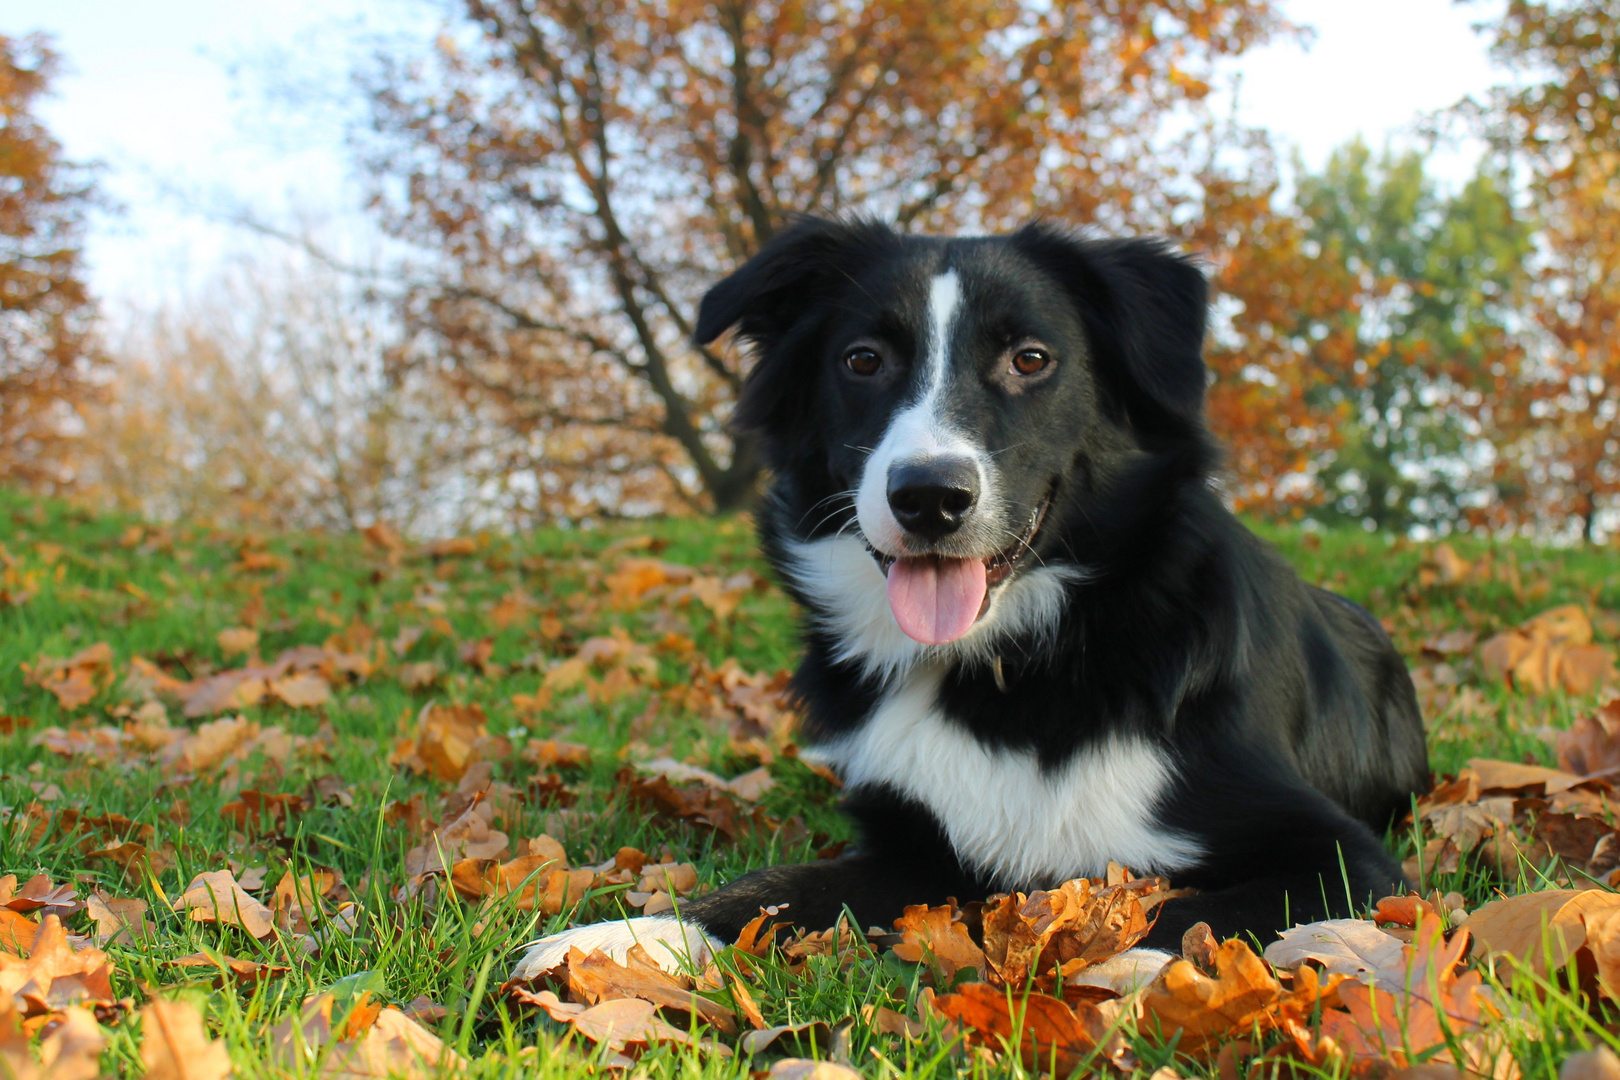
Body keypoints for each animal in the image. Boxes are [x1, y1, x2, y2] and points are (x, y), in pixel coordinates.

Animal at [508, 213, 1432, 990]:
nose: (929, 497)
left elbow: (1198, 911)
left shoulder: (1346, 859)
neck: (1014, 667)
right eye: (863, 360)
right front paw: (629, 938)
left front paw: (1124, 964)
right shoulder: (917, 851)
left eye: (1030, 358)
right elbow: (773, 886)